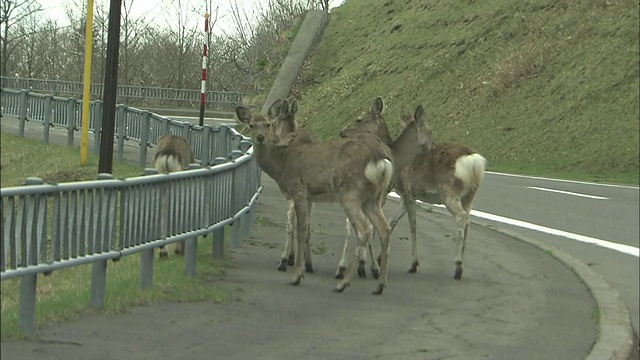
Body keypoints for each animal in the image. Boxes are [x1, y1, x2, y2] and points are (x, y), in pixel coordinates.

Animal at [235, 97, 430, 294]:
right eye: (251, 124)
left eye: (268, 124)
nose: (261, 137)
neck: (281, 164)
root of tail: (380, 161)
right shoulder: (306, 196)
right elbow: (303, 228)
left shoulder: (299, 189)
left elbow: (301, 230)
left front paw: (297, 274)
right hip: (370, 198)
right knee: (382, 228)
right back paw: (378, 285)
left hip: (350, 193)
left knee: (365, 229)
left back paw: (344, 281)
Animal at [340, 105, 484, 280]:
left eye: (359, 119)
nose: (343, 133)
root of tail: (475, 162)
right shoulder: (406, 195)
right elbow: (393, 221)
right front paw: (380, 257)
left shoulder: (407, 190)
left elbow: (412, 225)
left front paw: (413, 263)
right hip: (469, 195)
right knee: (467, 220)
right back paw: (460, 265)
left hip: (449, 192)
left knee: (462, 218)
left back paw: (457, 266)